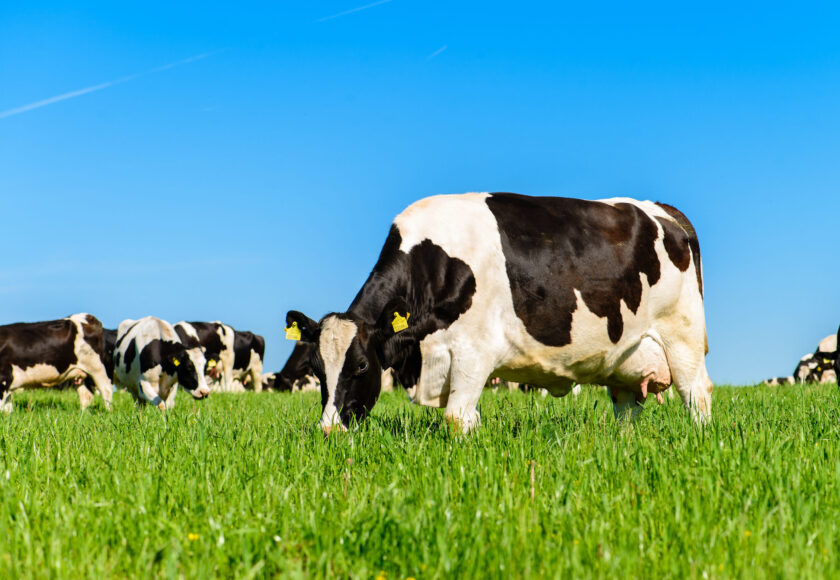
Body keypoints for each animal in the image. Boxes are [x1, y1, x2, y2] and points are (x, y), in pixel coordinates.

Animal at [286, 192, 710, 434]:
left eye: (361, 366)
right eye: (317, 370)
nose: (329, 430)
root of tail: (661, 210)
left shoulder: (474, 351)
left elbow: (456, 419)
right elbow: (468, 419)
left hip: (682, 336)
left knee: (697, 394)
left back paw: (699, 440)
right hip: (625, 358)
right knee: (627, 410)